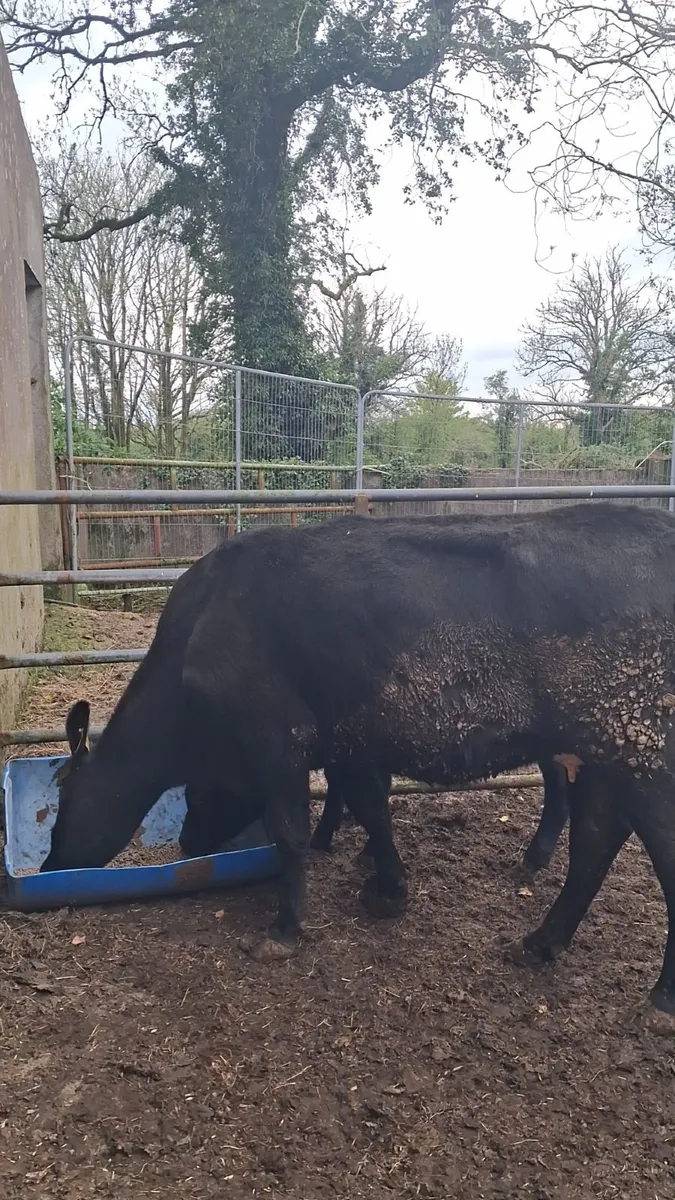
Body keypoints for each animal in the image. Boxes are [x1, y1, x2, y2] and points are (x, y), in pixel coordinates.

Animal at [42, 504, 675, 1013]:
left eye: (62, 803)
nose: (49, 869)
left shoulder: (280, 736)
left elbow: (291, 832)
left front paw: (284, 929)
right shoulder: (348, 740)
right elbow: (372, 809)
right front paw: (388, 888)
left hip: (644, 753)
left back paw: (660, 997)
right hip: (599, 753)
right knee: (594, 841)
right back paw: (541, 942)